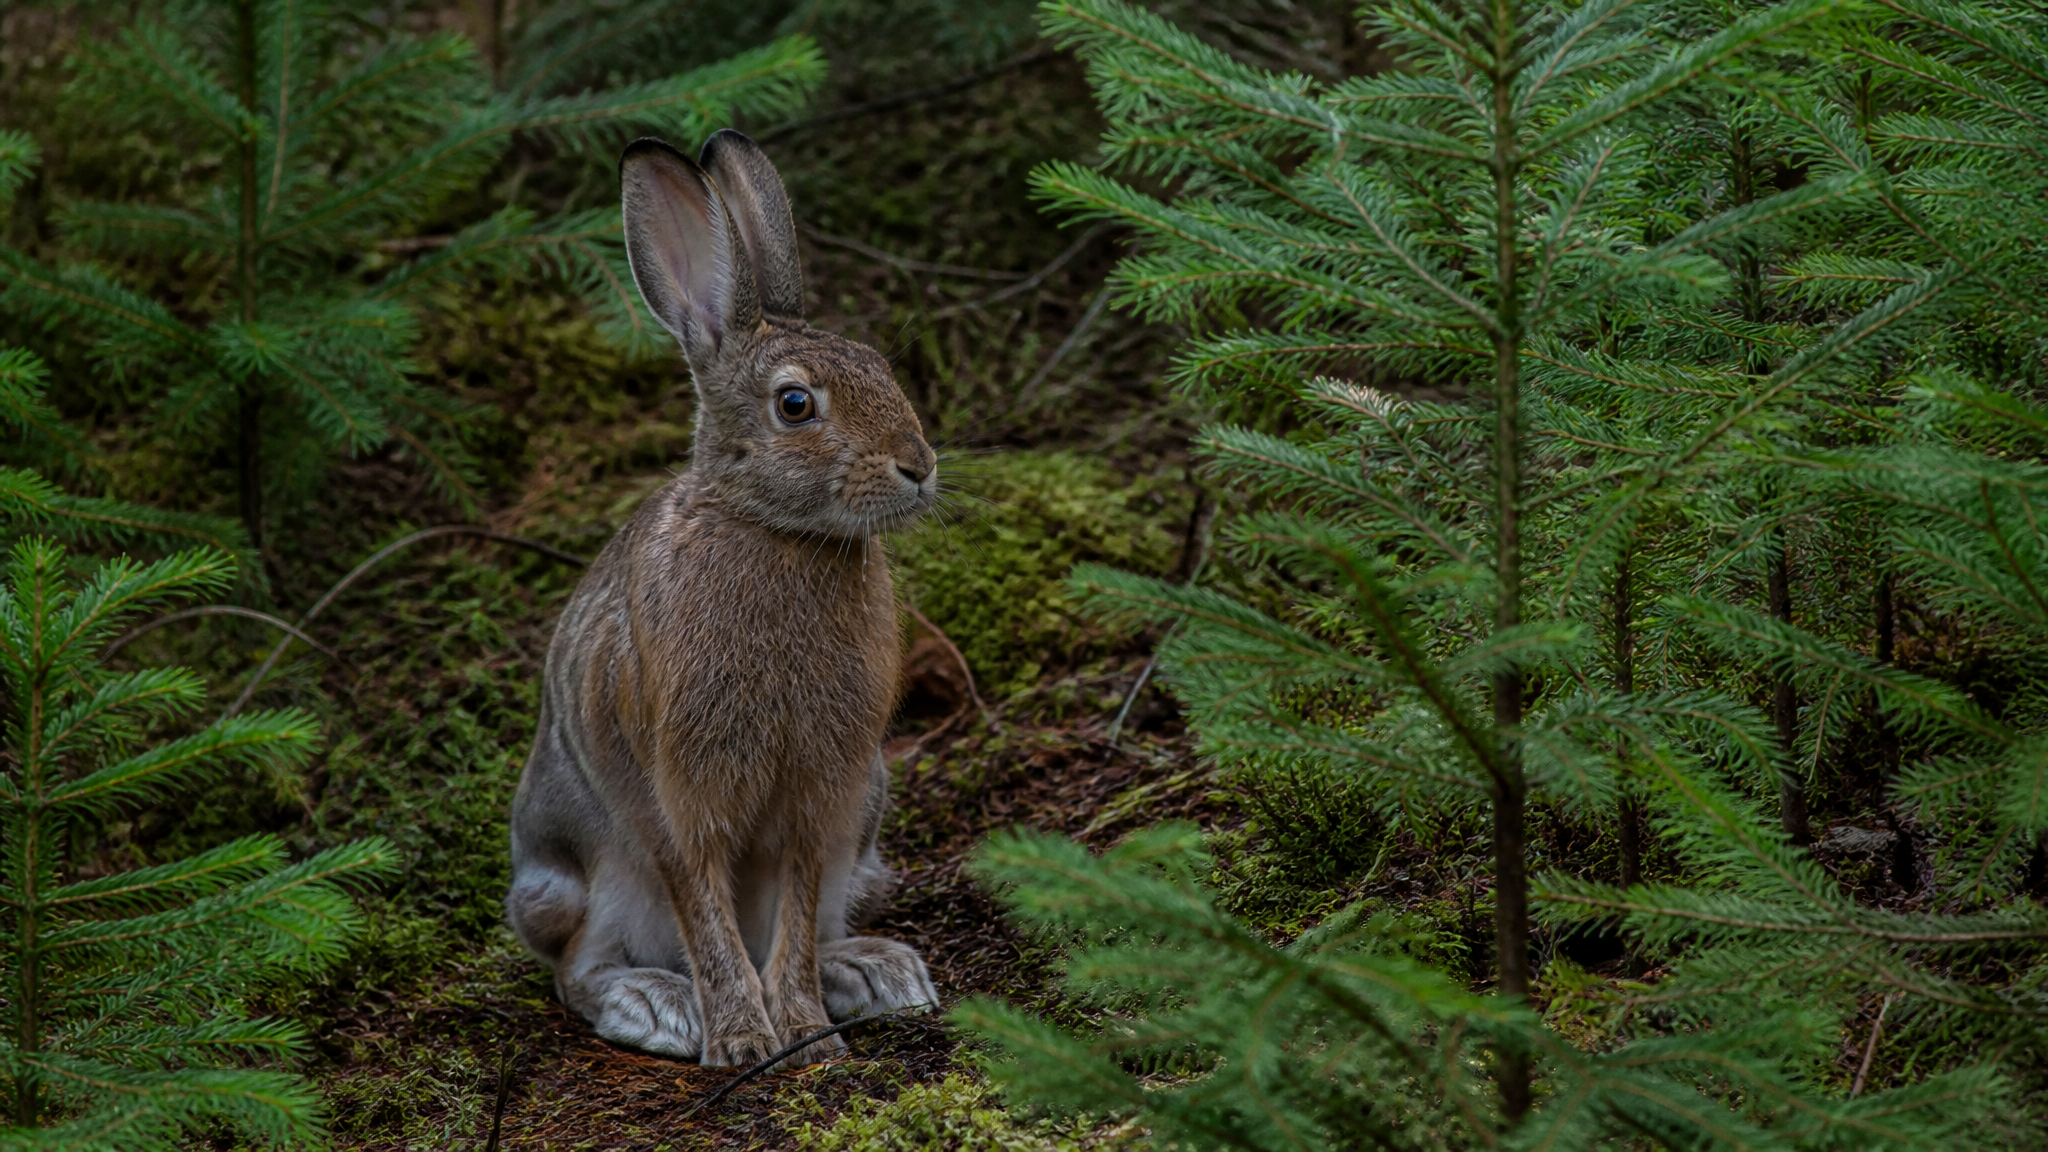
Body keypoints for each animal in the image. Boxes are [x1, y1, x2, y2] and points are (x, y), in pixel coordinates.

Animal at [505, 130, 940, 1068]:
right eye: (795, 404)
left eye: (882, 370)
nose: (920, 466)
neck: (773, 531)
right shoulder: (678, 795)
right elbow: (704, 913)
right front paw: (743, 1041)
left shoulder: (821, 795)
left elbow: (796, 911)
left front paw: (804, 1033)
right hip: (587, 873)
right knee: (575, 968)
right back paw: (655, 1004)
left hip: (867, 832)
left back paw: (872, 973)